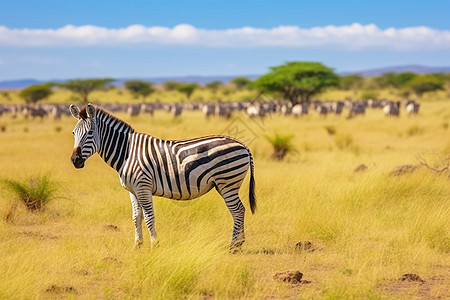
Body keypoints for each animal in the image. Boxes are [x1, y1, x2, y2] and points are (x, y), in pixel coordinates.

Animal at [68, 103, 255, 251]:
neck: (127, 153)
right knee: (240, 209)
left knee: (238, 210)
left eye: (90, 132)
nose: (75, 160)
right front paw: (137, 245)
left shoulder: (143, 187)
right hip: (225, 184)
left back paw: (234, 246)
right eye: (74, 133)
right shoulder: (133, 190)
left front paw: (154, 245)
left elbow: (149, 217)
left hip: (228, 183)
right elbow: (136, 217)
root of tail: (243, 144)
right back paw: (239, 244)